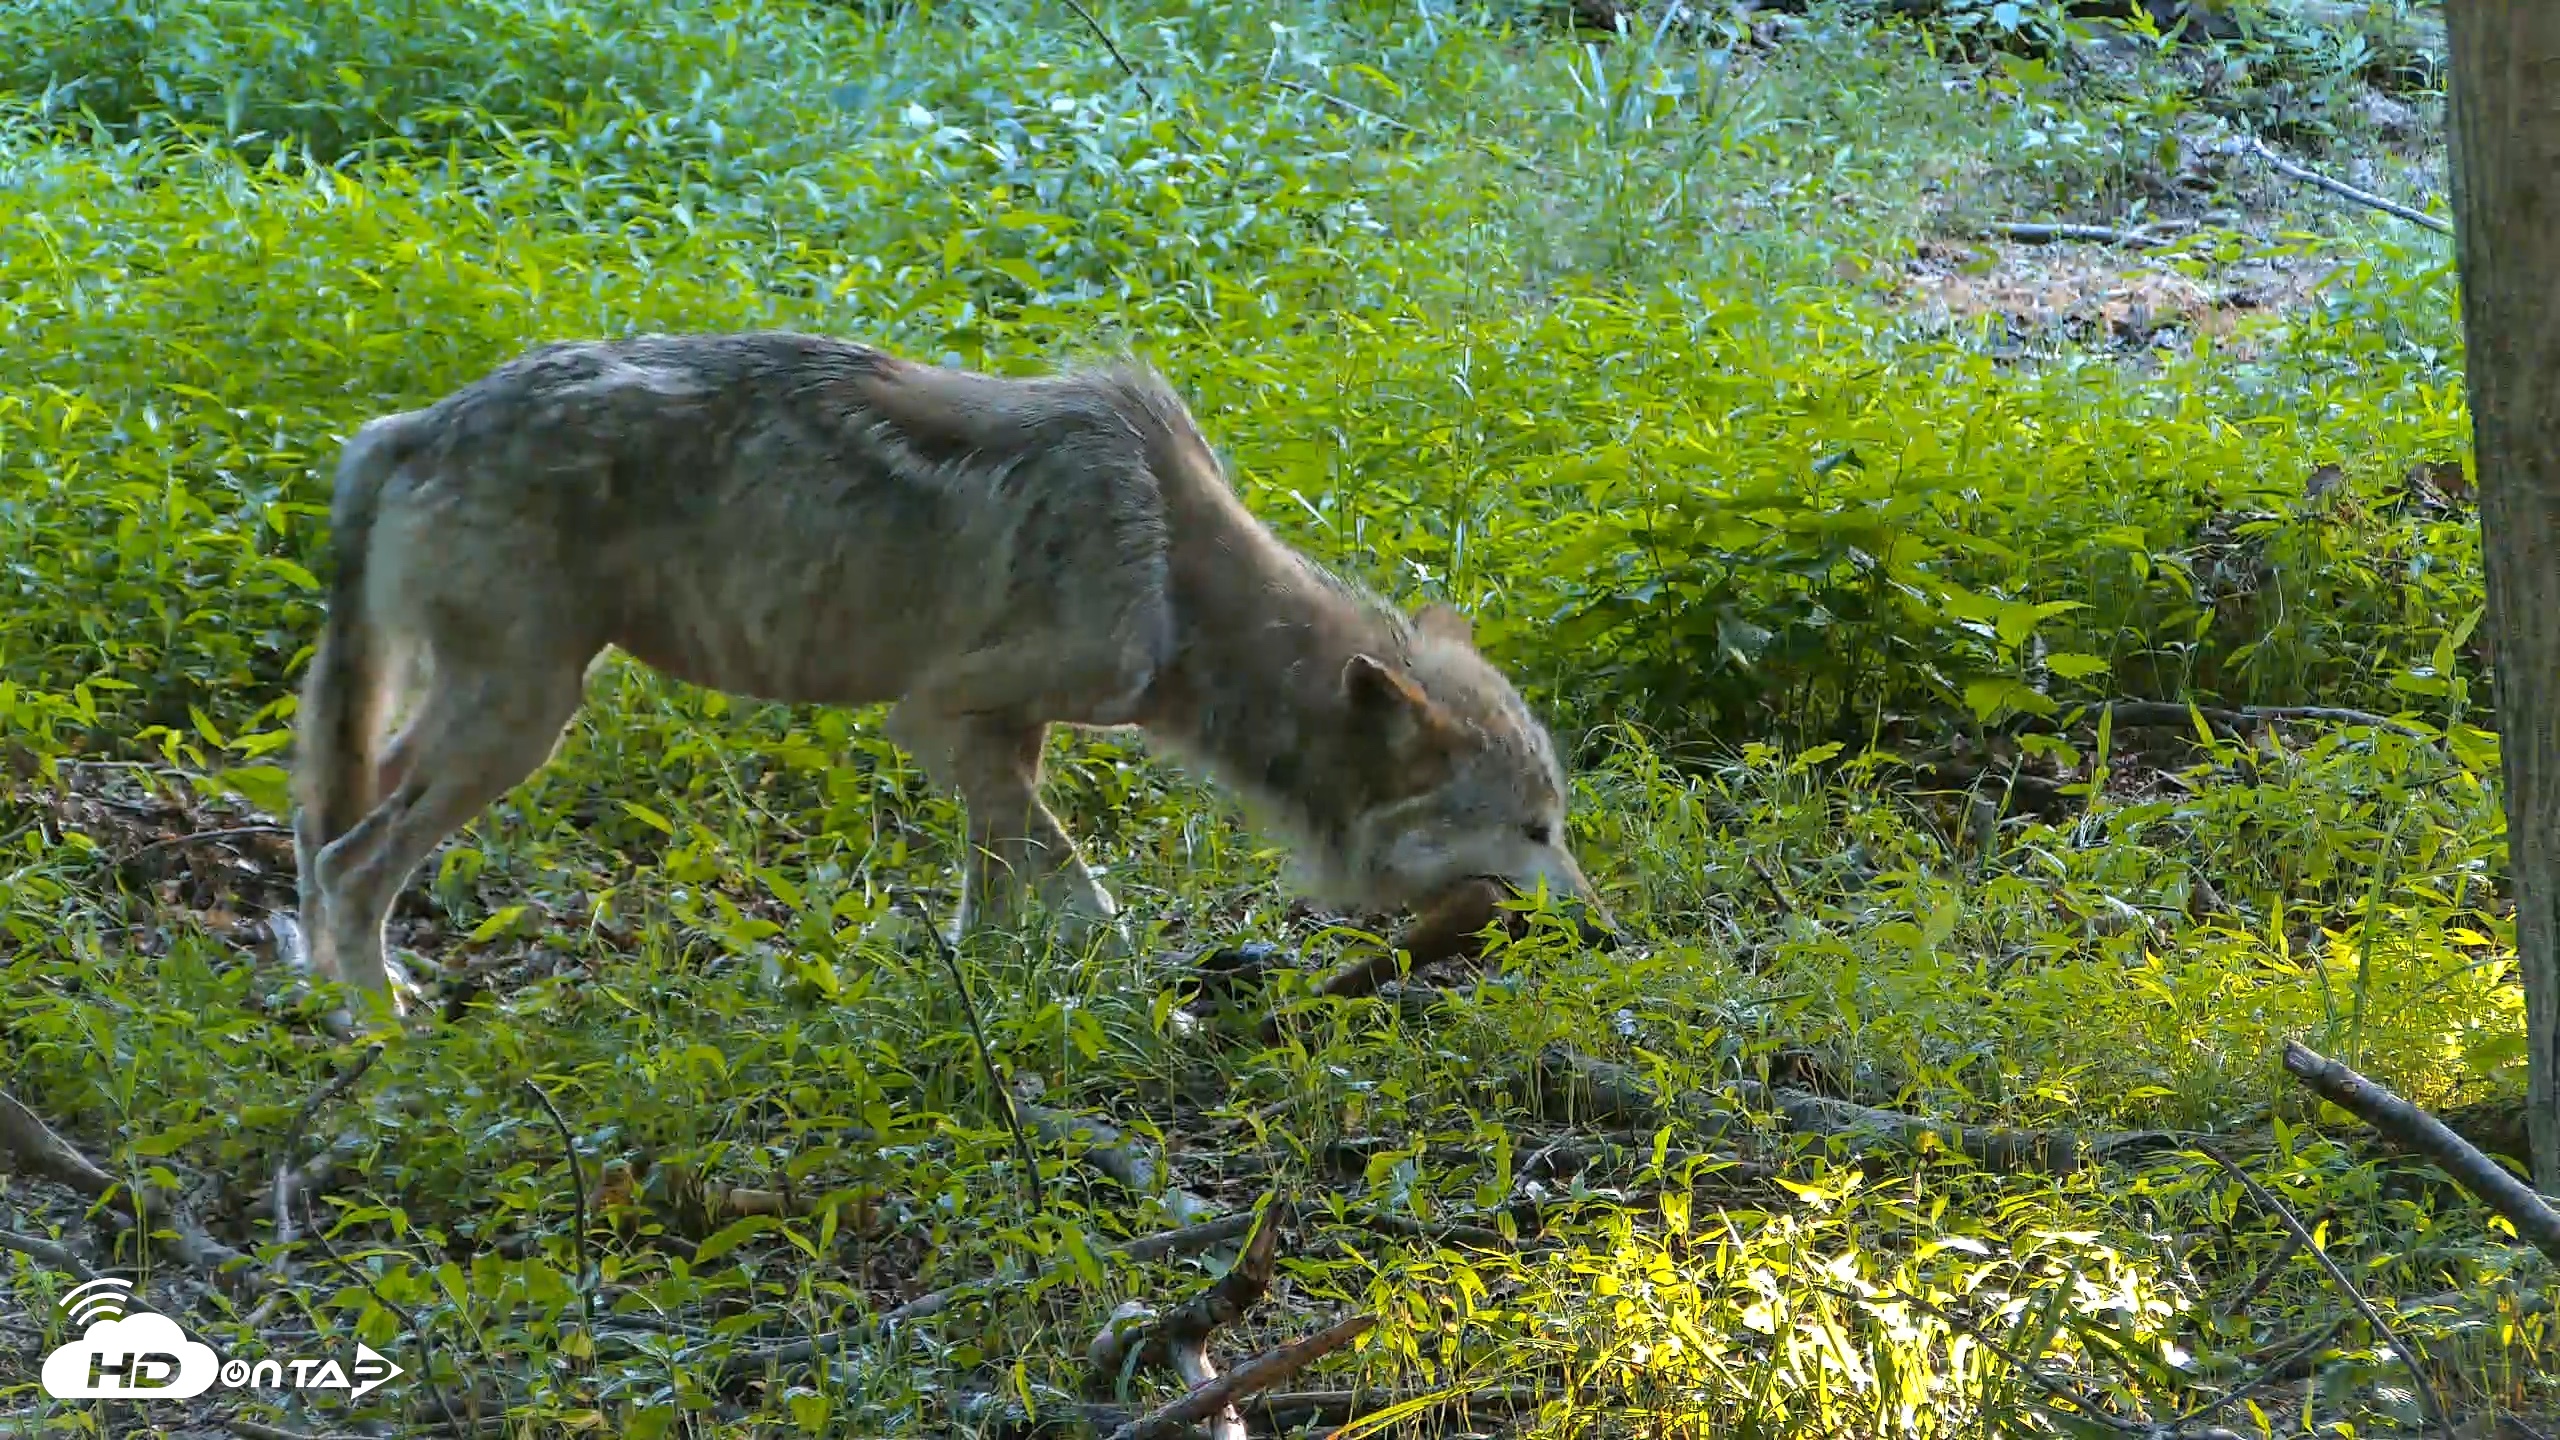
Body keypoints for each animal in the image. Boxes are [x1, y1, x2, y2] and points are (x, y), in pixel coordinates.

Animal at [289, 331, 1614, 1017]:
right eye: (1535, 831)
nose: (1605, 931)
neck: (1174, 571)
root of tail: (403, 429)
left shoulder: (998, 741)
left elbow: (995, 902)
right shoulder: (933, 719)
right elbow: (1088, 899)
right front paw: (1159, 1010)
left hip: (475, 719)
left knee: (333, 836)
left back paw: (356, 990)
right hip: (523, 723)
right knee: (355, 866)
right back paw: (388, 1043)